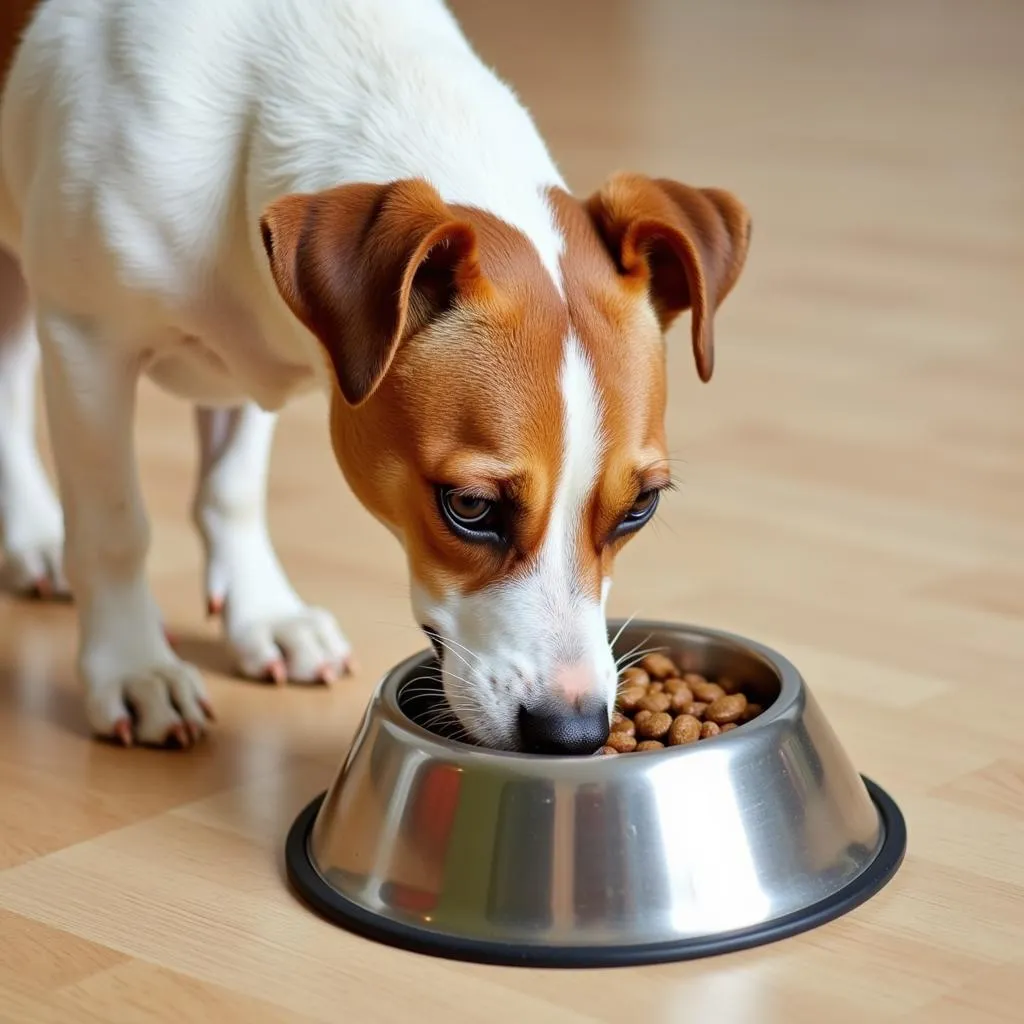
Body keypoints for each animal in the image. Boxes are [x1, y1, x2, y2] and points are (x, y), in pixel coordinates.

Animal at [2, 0, 753, 753]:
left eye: (639, 508)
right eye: (469, 507)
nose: (571, 733)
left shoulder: (256, 350)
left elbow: (232, 489)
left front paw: (264, 614)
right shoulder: (88, 345)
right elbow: (114, 526)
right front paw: (134, 667)